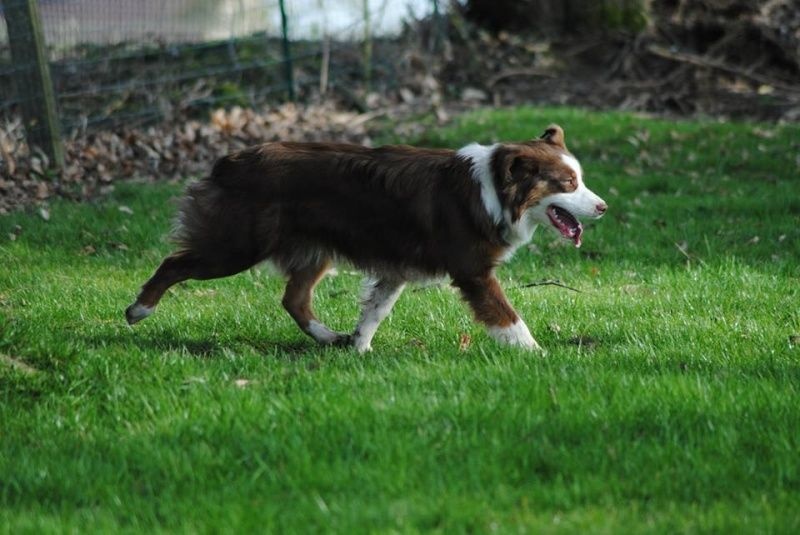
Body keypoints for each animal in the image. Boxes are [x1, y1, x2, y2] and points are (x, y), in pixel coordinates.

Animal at [125, 124, 608, 352]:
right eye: (568, 183)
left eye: (581, 180)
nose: (603, 207)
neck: (493, 188)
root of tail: (229, 161)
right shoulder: (472, 271)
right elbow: (509, 318)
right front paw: (538, 355)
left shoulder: (396, 266)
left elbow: (375, 310)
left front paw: (359, 348)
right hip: (237, 245)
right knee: (175, 263)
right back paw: (138, 309)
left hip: (314, 251)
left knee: (293, 300)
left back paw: (328, 338)